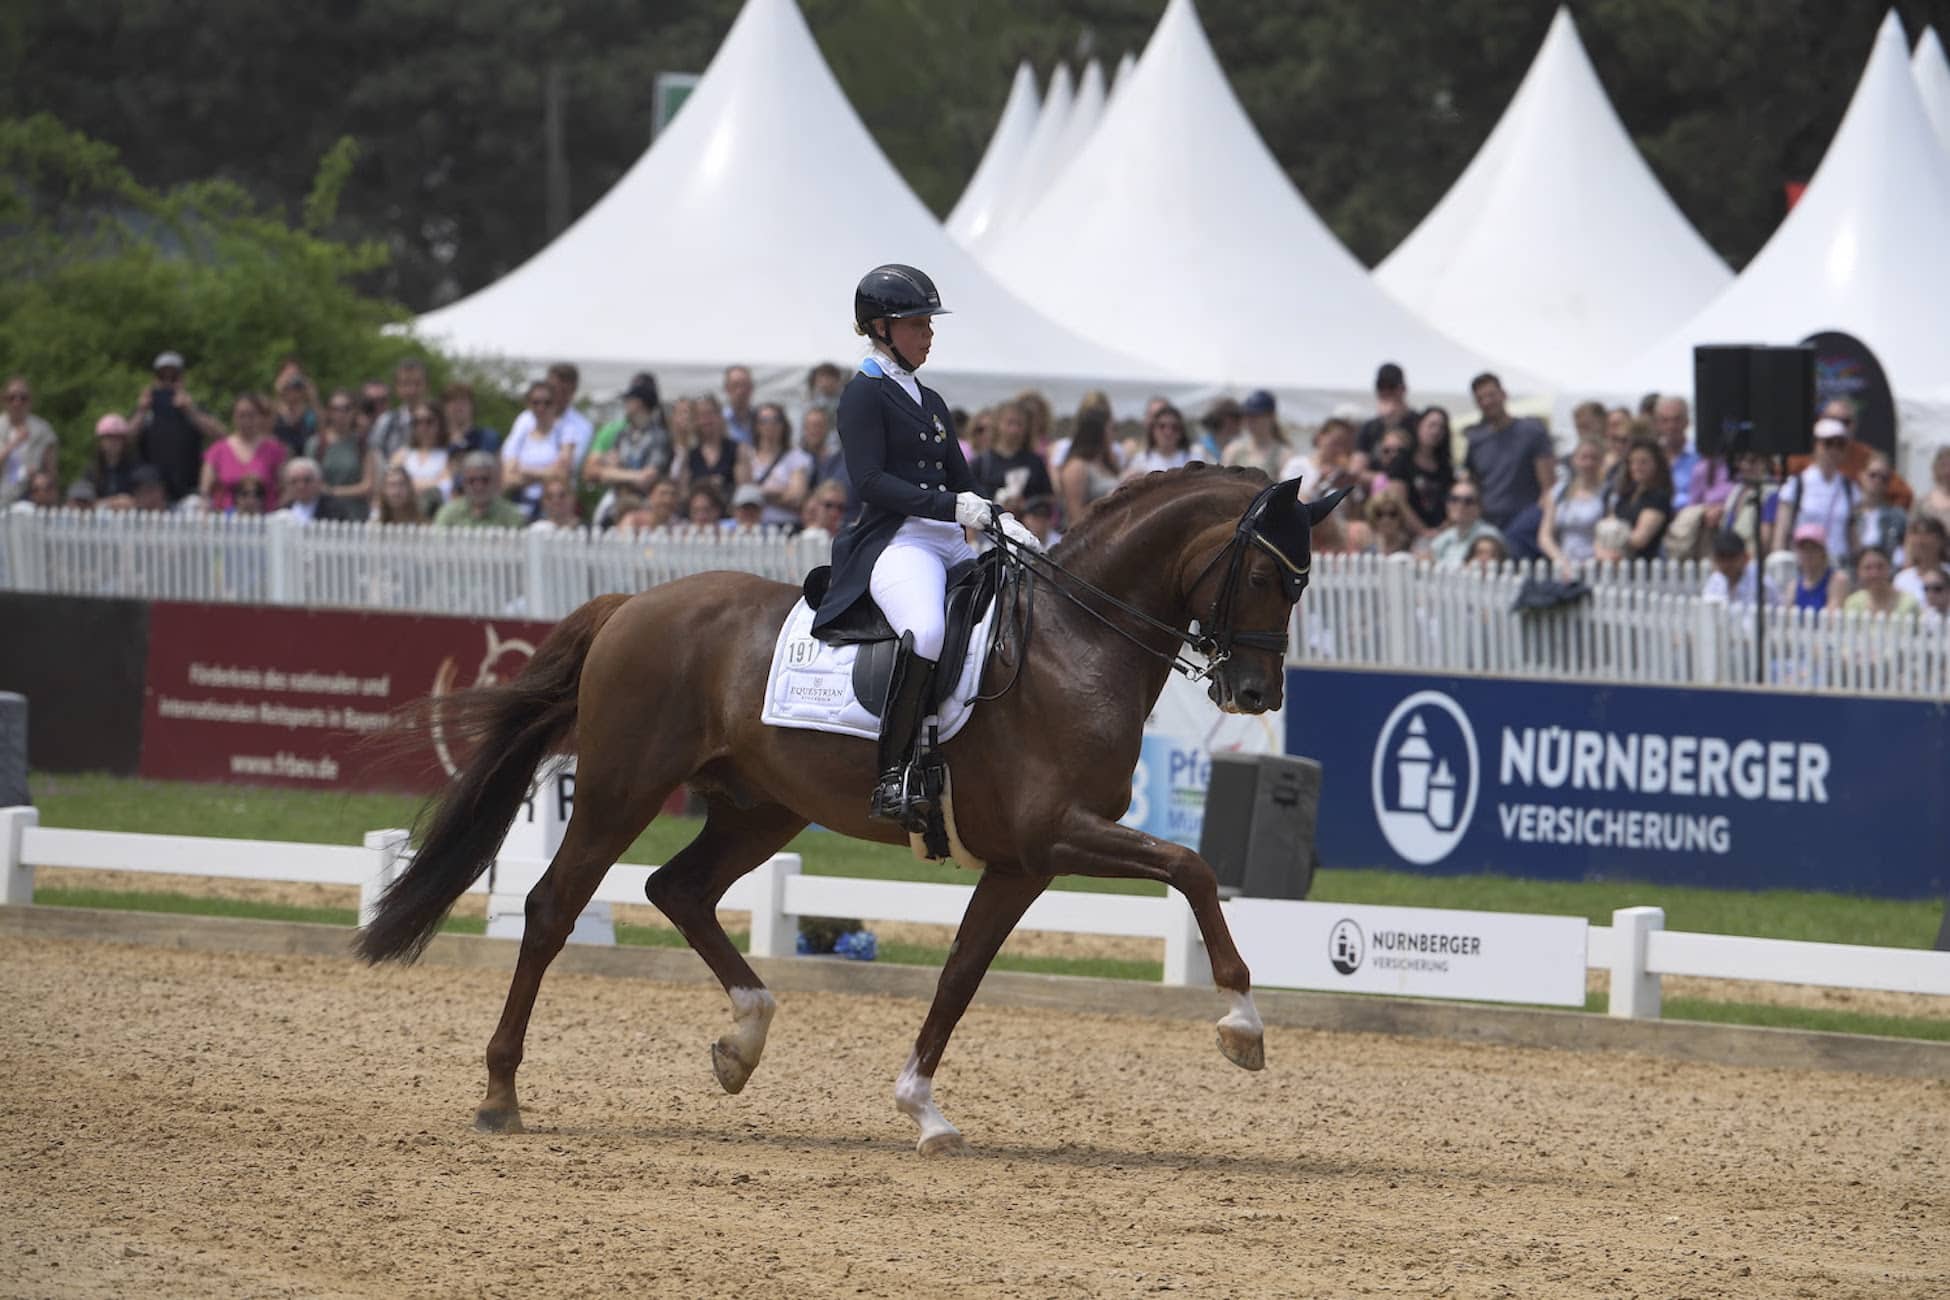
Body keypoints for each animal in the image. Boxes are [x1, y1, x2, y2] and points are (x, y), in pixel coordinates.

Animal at [358, 461, 1341, 1153]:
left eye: (1301, 584)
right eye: (1268, 576)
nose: (1254, 693)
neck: (1076, 641)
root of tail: (634, 601)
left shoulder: (1026, 862)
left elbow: (960, 974)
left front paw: (923, 1110)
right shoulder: (1056, 834)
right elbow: (1194, 867)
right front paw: (1242, 1025)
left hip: (761, 810)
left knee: (678, 891)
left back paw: (742, 1042)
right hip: (619, 790)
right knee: (553, 907)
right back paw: (500, 1093)